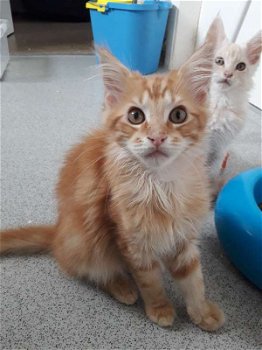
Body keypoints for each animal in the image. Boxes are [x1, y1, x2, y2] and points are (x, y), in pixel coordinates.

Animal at [1, 19, 224, 330]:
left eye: (178, 115)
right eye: (136, 116)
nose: (156, 137)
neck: (161, 185)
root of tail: (58, 232)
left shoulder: (184, 236)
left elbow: (193, 279)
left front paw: (202, 312)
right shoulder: (130, 241)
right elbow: (150, 281)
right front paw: (160, 309)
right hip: (86, 242)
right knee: (87, 269)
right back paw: (122, 287)